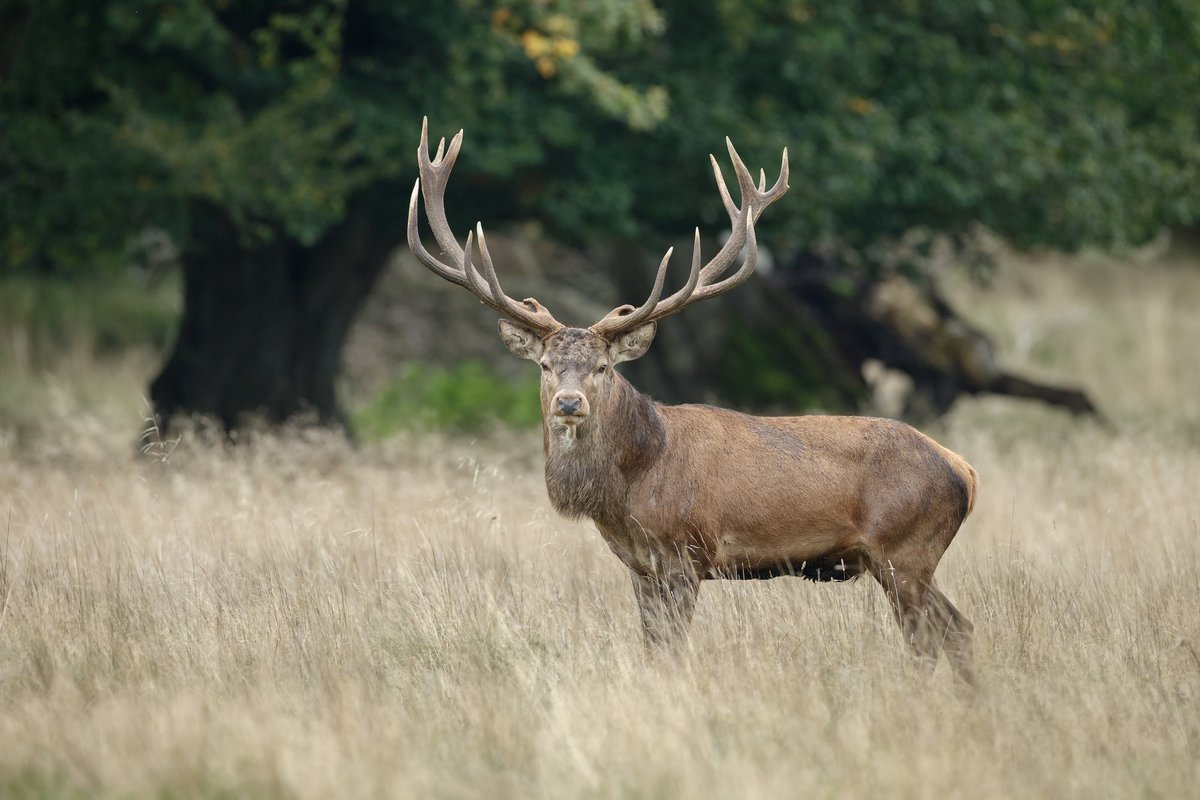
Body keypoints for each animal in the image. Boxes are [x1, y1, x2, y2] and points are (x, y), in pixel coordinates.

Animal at [408, 117, 979, 681]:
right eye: (546, 366)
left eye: (603, 367)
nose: (569, 404)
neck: (631, 486)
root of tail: (965, 472)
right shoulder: (639, 566)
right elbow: (652, 648)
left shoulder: (687, 553)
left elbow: (674, 651)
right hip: (901, 559)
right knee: (956, 628)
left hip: (904, 548)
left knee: (937, 633)